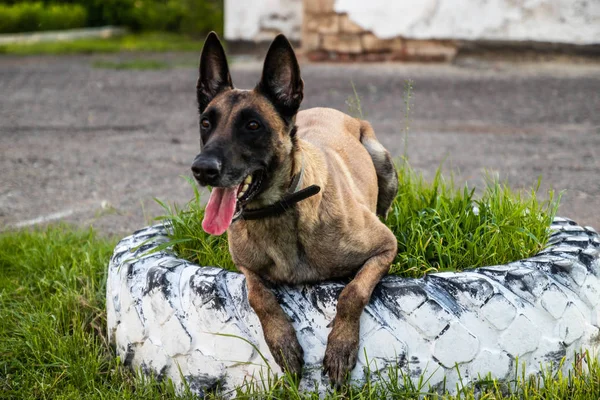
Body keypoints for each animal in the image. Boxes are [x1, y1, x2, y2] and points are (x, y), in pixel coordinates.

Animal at [192, 32, 398, 386]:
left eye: (252, 125)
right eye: (206, 123)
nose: (202, 169)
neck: (280, 210)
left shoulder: (386, 246)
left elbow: (353, 293)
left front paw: (341, 346)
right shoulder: (245, 265)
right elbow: (258, 296)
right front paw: (283, 342)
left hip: (383, 162)